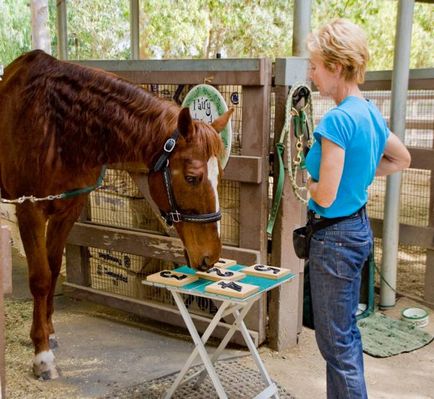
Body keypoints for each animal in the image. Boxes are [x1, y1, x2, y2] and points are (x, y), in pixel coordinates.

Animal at [0, 50, 234, 382]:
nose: (210, 256)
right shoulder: (30, 209)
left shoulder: (67, 209)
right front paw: (42, 355)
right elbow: (41, 278)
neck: (55, 127)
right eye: (192, 178)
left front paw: (49, 332)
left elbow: (54, 267)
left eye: (219, 176)